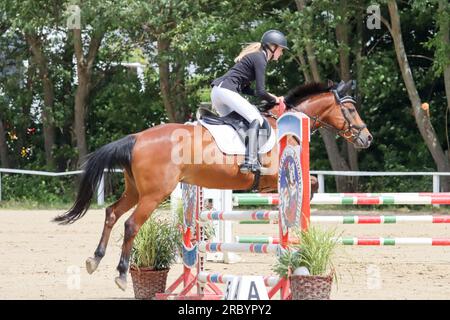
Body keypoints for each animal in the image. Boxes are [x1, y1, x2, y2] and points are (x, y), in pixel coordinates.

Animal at [52, 80, 370, 290]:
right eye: (351, 109)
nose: (367, 138)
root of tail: (137, 138)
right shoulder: (271, 176)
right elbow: (311, 182)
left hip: (134, 190)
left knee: (112, 214)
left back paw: (95, 259)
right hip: (154, 194)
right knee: (131, 224)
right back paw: (120, 273)